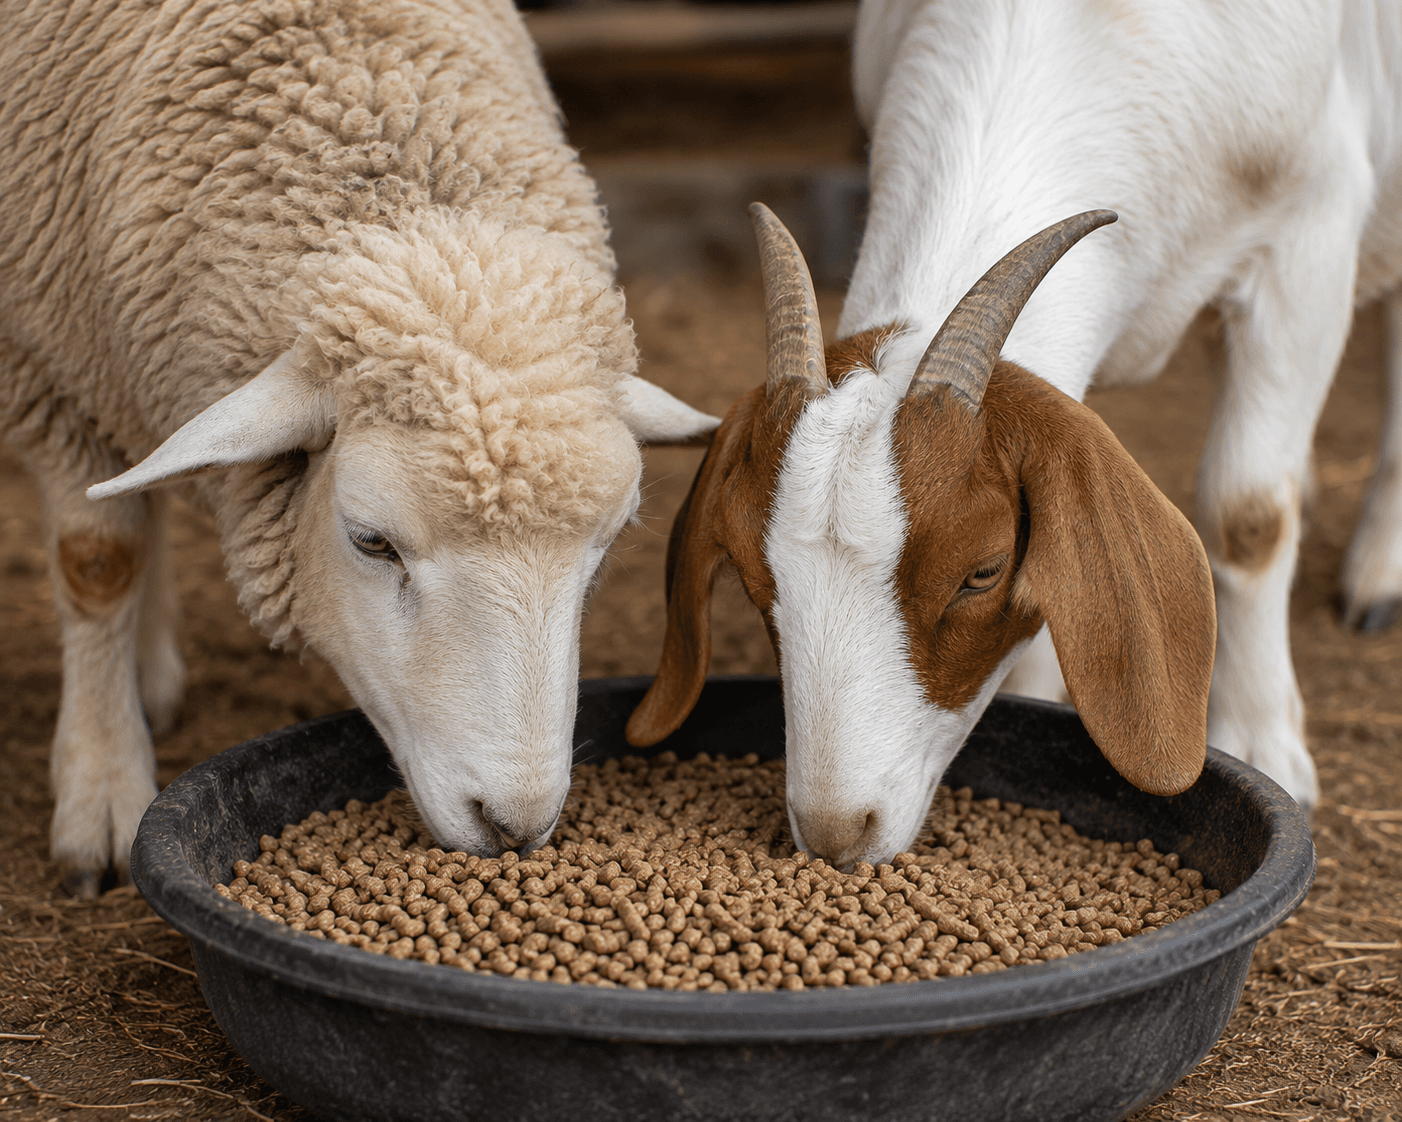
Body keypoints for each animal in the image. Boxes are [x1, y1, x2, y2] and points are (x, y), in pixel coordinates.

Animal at [0, 0, 718, 896]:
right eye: (372, 543)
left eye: (608, 547)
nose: (515, 826)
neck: (353, 67)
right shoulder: (51, 372)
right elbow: (99, 562)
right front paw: (99, 792)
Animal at [626, 0, 1402, 866]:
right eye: (752, 574)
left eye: (982, 571)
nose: (836, 834)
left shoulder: (1311, 237)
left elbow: (1250, 513)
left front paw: (1267, 745)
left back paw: (1377, 575)